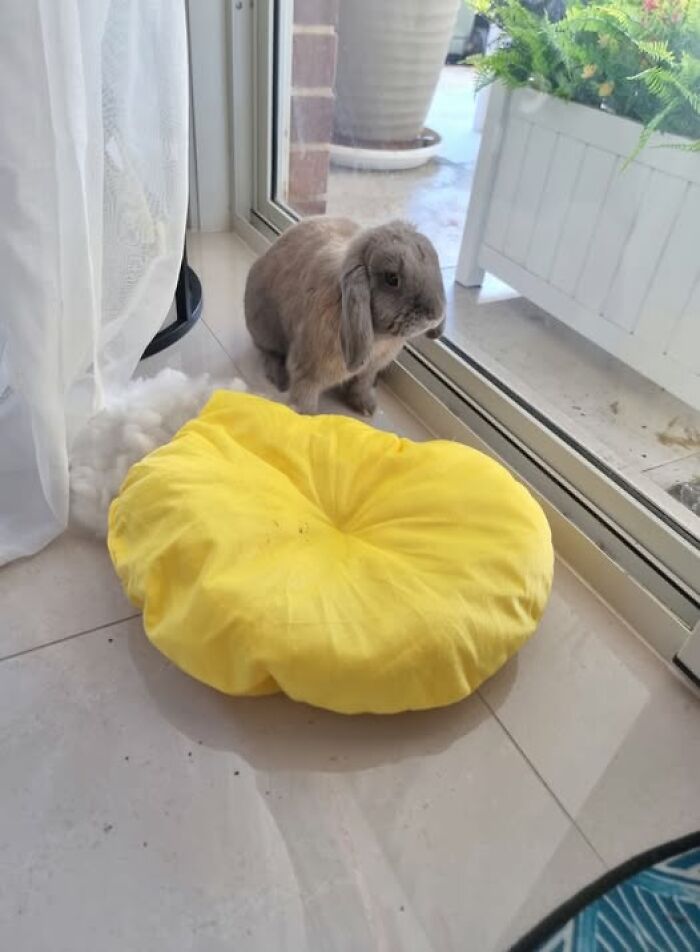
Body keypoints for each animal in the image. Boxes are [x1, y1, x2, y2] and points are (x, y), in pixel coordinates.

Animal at [244, 217, 446, 416]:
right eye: (392, 278)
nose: (435, 314)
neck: (379, 339)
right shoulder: (308, 368)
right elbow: (305, 391)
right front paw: (303, 414)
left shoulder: (370, 369)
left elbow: (362, 384)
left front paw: (367, 407)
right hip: (263, 329)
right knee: (268, 352)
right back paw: (279, 377)